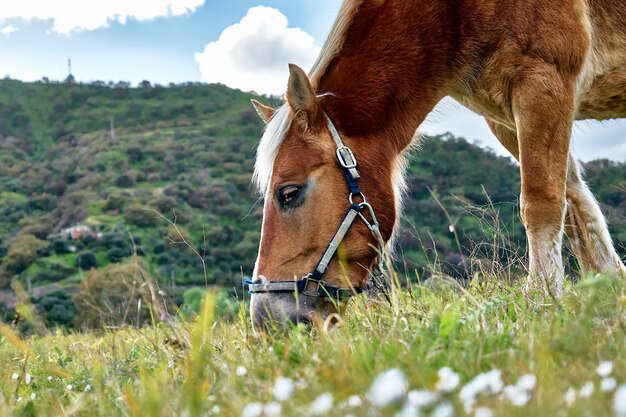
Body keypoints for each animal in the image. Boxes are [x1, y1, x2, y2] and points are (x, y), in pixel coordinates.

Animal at [247, 0, 624, 324]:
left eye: (289, 193)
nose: (266, 319)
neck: (452, 12)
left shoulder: (543, 84)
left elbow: (542, 203)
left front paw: (542, 302)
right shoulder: (505, 119)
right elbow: (577, 206)